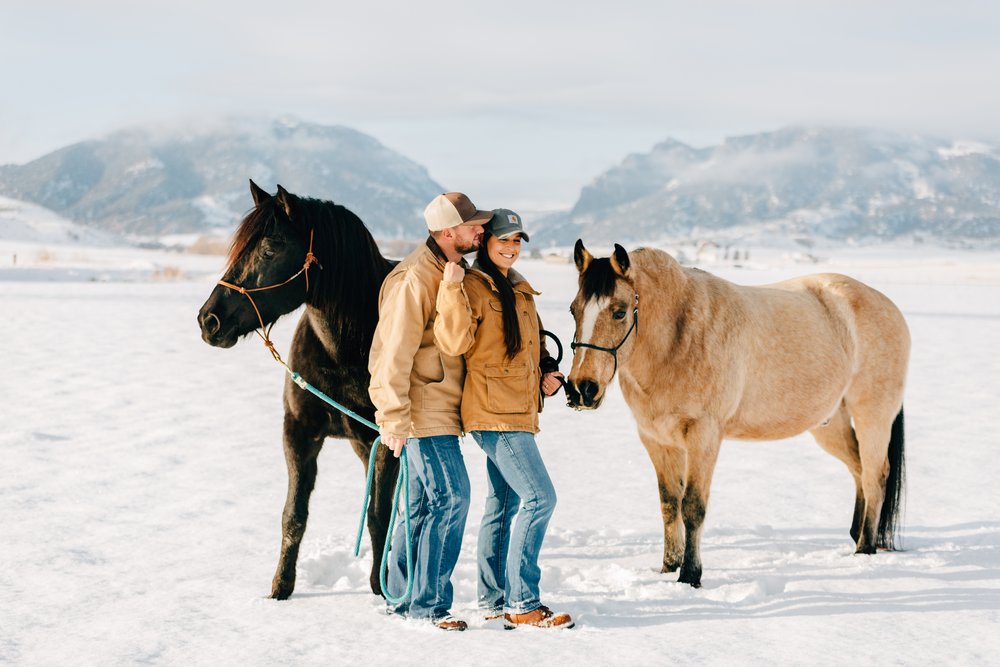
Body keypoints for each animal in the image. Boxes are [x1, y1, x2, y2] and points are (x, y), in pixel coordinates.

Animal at [195, 183, 398, 600]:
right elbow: (294, 515)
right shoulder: (299, 433)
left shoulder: (385, 441)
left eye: (270, 249)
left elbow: (379, 513)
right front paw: (281, 587)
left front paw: (380, 589)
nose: (209, 320)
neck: (347, 350)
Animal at [568, 243, 912, 588]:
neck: (679, 336)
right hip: (830, 425)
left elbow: (693, 506)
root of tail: (889, 307)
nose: (582, 388)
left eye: (620, 311)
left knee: (875, 475)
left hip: (872, 416)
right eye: (574, 310)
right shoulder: (656, 440)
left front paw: (690, 576)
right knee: (858, 469)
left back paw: (865, 549)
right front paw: (668, 567)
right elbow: (669, 505)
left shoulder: (704, 436)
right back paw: (856, 537)